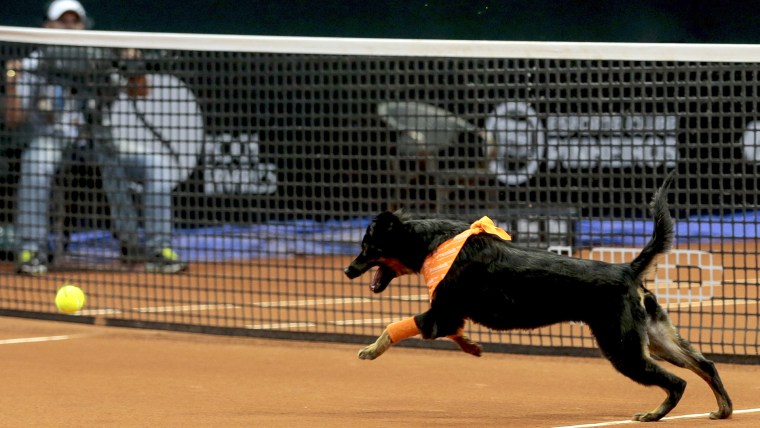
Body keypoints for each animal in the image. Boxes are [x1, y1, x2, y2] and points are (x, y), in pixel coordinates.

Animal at [344, 176, 732, 422]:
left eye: (367, 248)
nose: (348, 270)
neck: (434, 242)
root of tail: (627, 269)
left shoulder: (440, 314)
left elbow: (392, 327)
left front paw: (370, 350)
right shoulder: (447, 317)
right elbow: (453, 333)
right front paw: (471, 346)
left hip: (624, 349)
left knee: (677, 382)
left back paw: (654, 415)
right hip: (657, 338)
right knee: (706, 365)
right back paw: (723, 409)